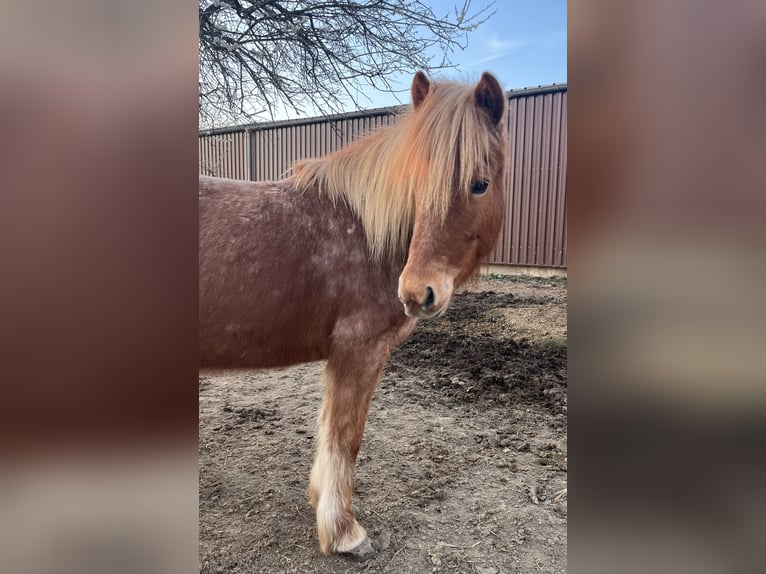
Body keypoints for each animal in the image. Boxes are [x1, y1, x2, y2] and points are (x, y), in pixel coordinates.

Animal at [199, 71, 507, 559]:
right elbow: (346, 436)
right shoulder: (359, 351)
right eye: (415, 182)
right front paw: (344, 532)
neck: (366, 230)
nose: (417, 291)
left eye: (479, 184)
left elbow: (329, 430)